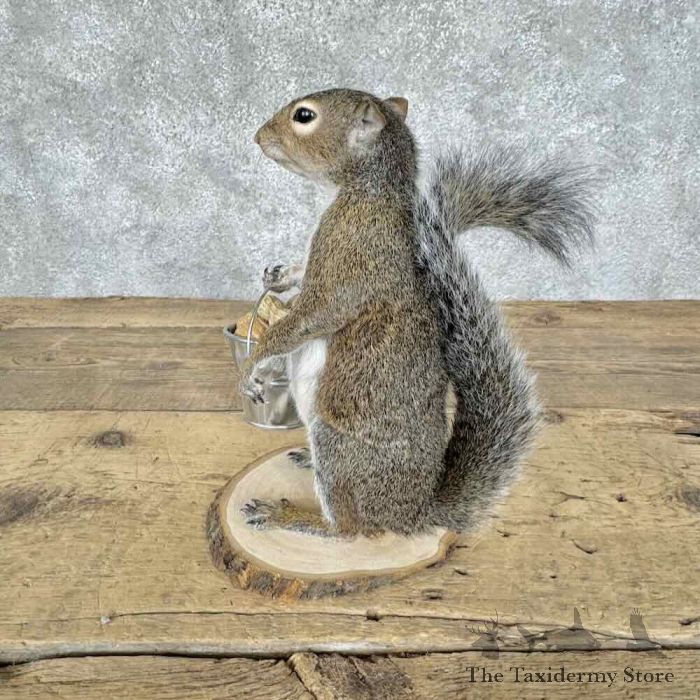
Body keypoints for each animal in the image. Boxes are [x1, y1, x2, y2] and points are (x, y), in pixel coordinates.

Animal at [240, 88, 594, 537]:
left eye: (304, 116)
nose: (258, 136)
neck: (369, 191)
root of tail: (412, 514)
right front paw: (281, 275)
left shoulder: (353, 254)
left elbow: (313, 316)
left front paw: (252, 363)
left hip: (337, 447)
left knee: (349, 529)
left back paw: (288, 516)